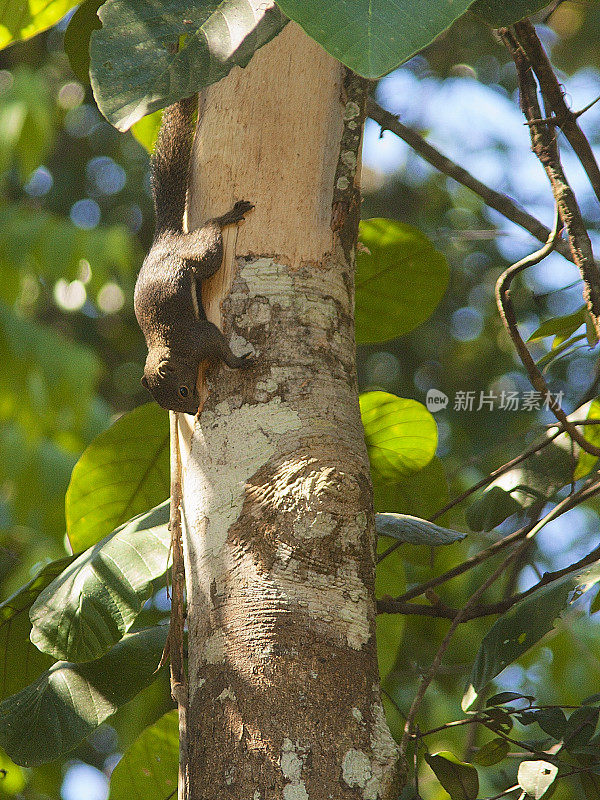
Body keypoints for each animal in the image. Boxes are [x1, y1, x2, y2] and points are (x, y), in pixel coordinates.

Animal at [135, 95, 254, 412]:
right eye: (169, 405)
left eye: (183, 391)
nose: (192, 411)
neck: (173, 349)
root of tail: (164, 239)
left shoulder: (200, 337)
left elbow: (220, 344)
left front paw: (237, 362)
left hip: (200, 254)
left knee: (211, 236)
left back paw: (225, 218)